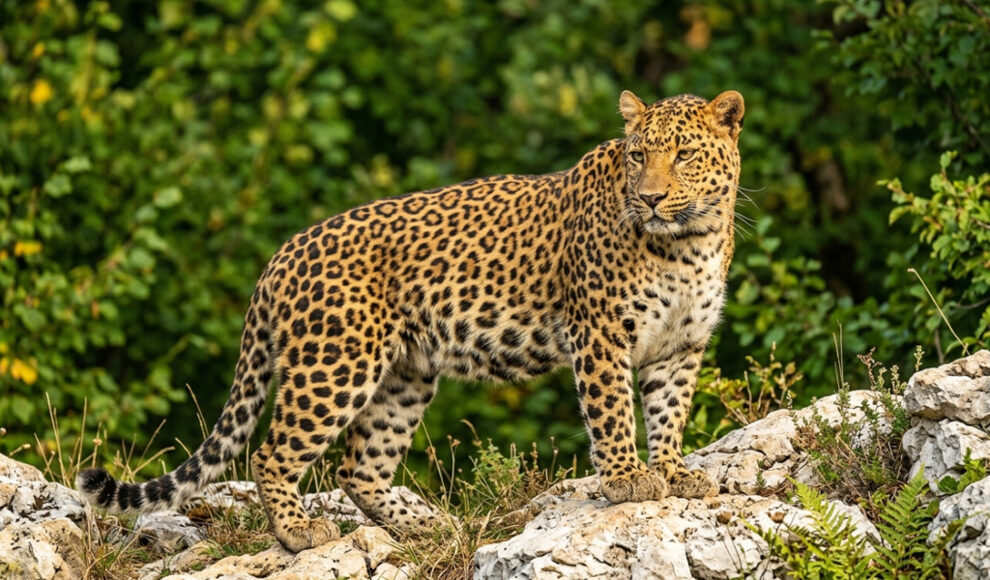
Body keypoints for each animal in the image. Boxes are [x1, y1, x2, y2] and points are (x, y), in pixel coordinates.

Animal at [78, 89, 745, 553]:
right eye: (638, 156)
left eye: (684, 154)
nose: (651, 198)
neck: (689, 241)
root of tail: (281, 255)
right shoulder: (601, 334)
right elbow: (612, 415)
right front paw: (628, 481)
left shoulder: (680, 346)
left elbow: (668, 413)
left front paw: (672, 473)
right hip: (335, 366)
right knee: (273, 454)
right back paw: (299, 534)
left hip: (405, 375)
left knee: (358, 467)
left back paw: (426, 526)